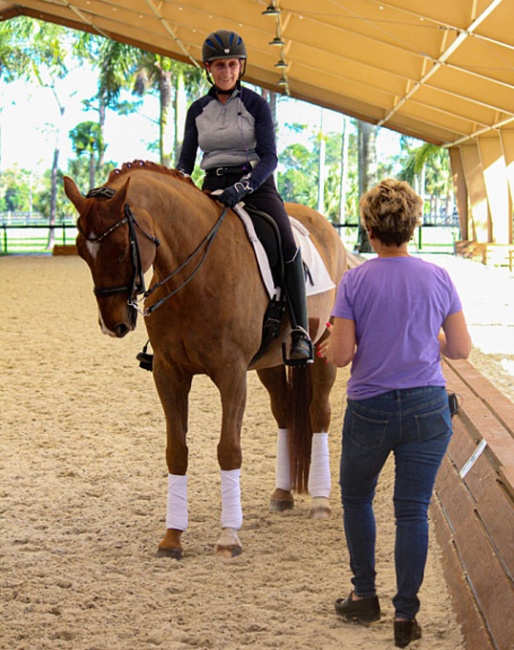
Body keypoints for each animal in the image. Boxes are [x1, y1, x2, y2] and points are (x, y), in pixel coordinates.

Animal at [63, 158, 344, 556]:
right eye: (81, 252)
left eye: (120, 248)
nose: (113, 324)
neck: (193, 275)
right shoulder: (168, 375)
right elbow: (176, 451)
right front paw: (172, 537)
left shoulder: (231, 375)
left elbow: (229, 450)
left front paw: (229, 536)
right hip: (271, 363)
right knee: (285, 413)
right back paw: (283, 493)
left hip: (323, 350)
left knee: (319, 414)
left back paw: (320, 501)